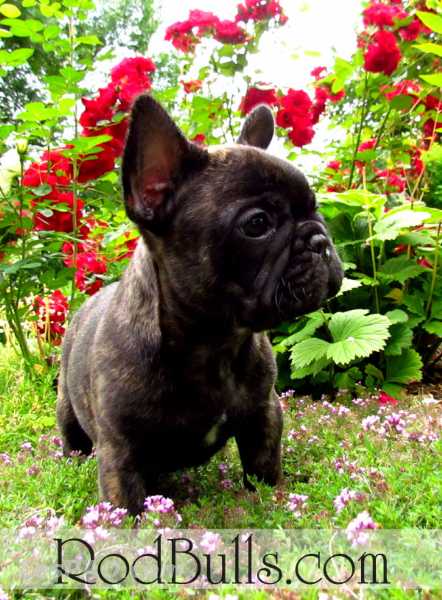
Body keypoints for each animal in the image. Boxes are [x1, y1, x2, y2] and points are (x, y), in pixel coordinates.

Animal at [57, 96, 344, 512]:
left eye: (315, 206)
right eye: (257, 224)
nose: (320, 241)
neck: (212, 341)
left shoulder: (263, 413)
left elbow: (263, 466)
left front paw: (273, 501)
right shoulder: (119, 450)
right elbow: (125, 502)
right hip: (66, 407)